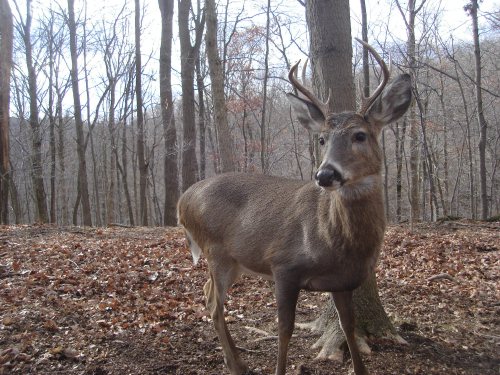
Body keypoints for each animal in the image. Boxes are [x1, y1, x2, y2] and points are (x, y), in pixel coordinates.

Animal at [178, 39, 412, 375]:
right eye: (322, 139)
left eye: (360, 135)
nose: (325, 174)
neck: (338, 242)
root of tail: (182, 200)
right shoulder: (284, 266)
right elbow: (284, 329)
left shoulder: (343, 280)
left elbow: (348, 326)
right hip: (215, 250)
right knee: (212, 301)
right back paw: (236, 364)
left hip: (234, 260)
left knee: (208, 294)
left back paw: (235, 361)